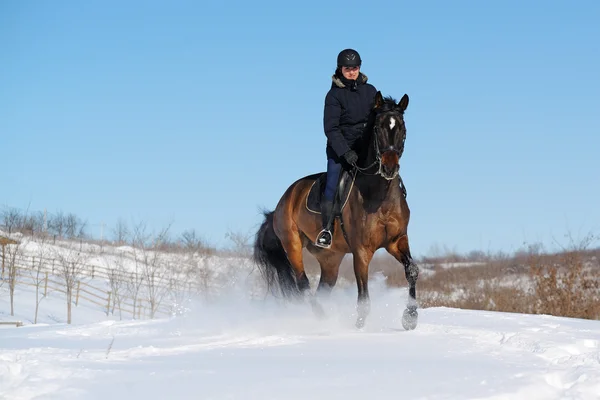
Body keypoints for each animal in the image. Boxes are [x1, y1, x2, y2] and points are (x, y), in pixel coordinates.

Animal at [252, 92, 418, 330]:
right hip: (292, 244)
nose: (389, 168)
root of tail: (284, 200)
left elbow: (411, 270)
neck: (379, 196)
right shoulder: (361, 250)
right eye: (378, 128)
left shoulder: (396, 241)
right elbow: (363, 290)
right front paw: (360, 324)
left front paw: (410, 317)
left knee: (321, 289)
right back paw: (322, 320)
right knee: (303, 284)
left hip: (330, 259)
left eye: (402, 128)